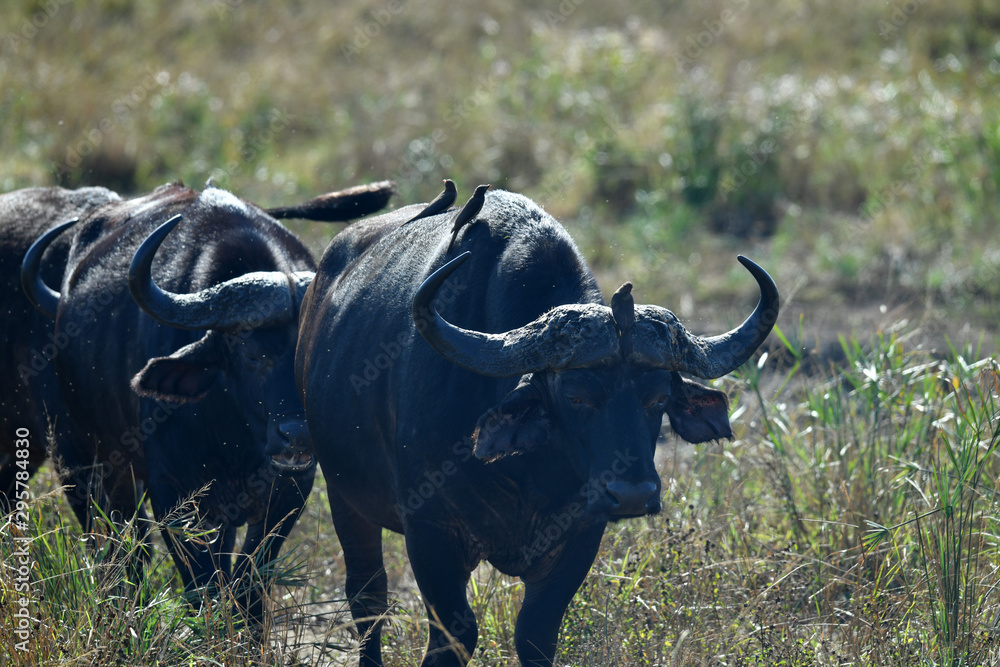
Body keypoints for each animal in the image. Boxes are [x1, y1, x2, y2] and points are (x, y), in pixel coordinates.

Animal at [20, 180, 391, 618]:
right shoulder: (172, 494)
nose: (298, 436)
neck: (234, 438)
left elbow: (249, 581)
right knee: (122, 547)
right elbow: (202, 584)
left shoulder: (289, 491)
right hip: (87, 457)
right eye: (252, 354)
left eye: (311, 357)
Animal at [296, 187, 778, 666]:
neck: (525, 473)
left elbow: (535, 632)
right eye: (575, 396)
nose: (633, 495)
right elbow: (454, 635)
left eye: (659, 397)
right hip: (344, 496)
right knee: (367, 598)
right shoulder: (429, 531)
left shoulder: (582, 533)